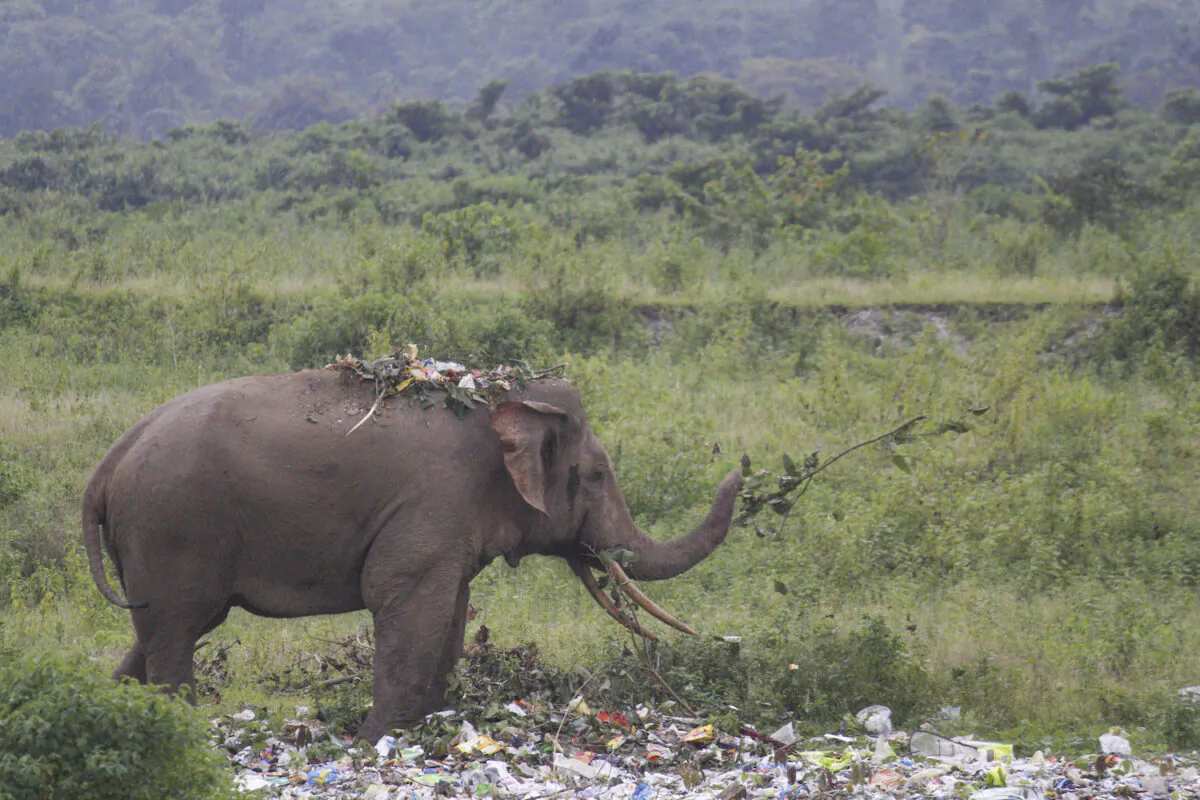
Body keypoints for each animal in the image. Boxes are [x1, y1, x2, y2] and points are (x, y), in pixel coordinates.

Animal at [82, 367, 743, 742]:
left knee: (161, 628)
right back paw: (180, 729)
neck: (506, 401)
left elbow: (452, 608)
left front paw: (430, 727)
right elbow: (403, 595)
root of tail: (108, 463)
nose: (742, 467)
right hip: (174, 525)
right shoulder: (436, 499)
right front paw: (374, 742)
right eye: (599, 475)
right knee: (177, 627)